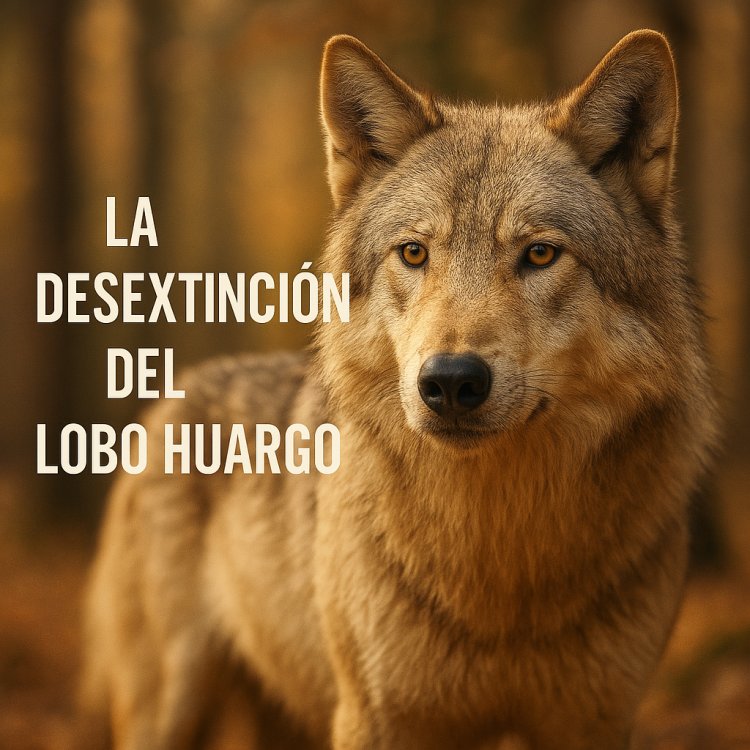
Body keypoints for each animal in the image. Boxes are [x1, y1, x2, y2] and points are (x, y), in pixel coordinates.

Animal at [81, 30, 716, 750]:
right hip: (168, 709)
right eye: (414, 253)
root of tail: (175, 392)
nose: (451, 380)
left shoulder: (594, 722)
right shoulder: (376, 720)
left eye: (540, 254)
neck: (503, 571)